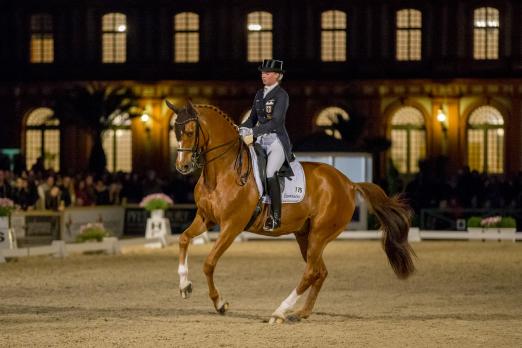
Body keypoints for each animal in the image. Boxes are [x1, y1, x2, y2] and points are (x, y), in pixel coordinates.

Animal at [169, 100, 412, 324]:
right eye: (175, 131)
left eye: (190, 131)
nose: (182, 167)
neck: (224, 170)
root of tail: (349, 183)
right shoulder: (206, 218)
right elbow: (183, 239)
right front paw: (184, 286)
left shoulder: (232, 226)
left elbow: (209, 263)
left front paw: (220, 303)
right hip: (305, 235)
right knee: (319, 272)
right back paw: (301, 313)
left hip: (320, 234)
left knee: (311, 272)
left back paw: (279, 312)